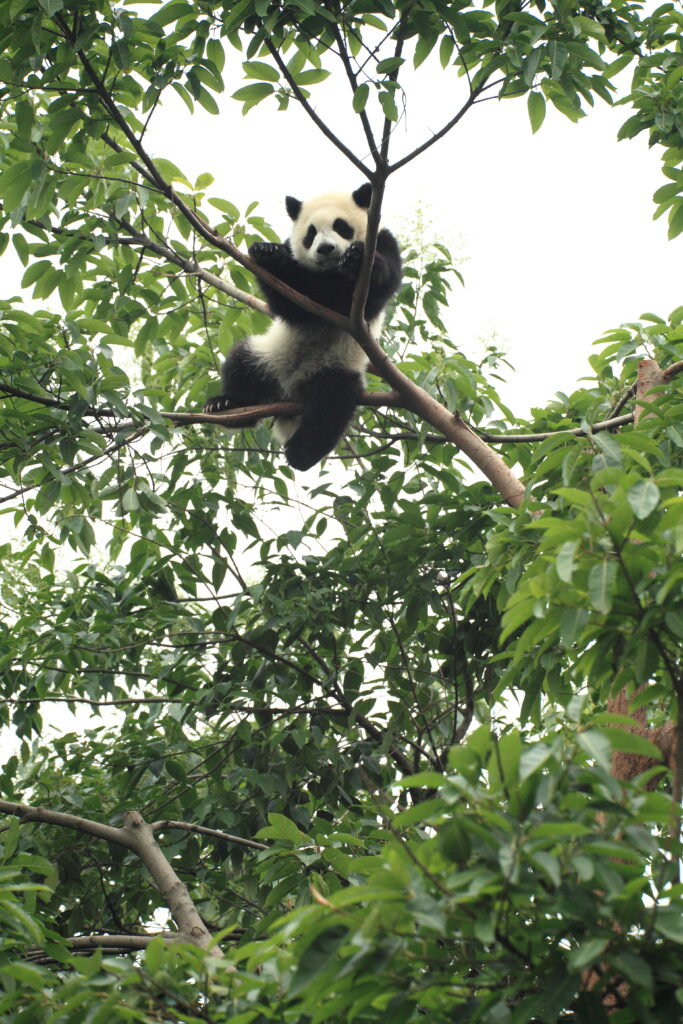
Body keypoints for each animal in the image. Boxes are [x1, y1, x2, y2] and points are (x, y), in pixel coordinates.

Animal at [203, 183, 402, 471]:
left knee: (330, 406)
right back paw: (226, 405)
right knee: (242, 363)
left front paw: (356, 259)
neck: (329, 272)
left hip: (334, 368)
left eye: (341, 226)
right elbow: (291, 301)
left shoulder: (382, 241)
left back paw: (300, 453)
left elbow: (380, 285)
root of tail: (290, 393)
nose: (326, 249)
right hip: (268, 355)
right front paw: (267, 253)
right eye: (311, 234)